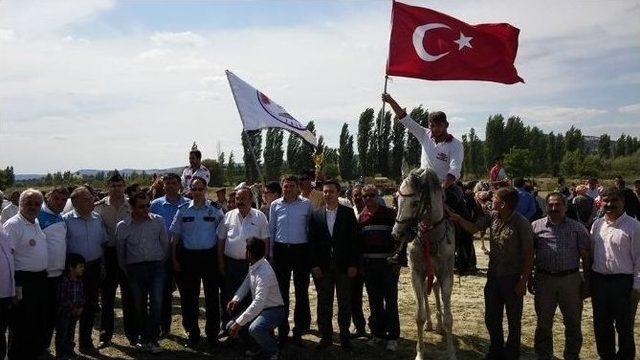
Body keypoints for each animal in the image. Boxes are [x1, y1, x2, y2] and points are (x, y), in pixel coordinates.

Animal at [390, 169, 456, 360]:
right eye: (397, 200)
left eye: (415, 203)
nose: (396, 234)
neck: (431, 237)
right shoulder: (416, 273)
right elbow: (419, 315)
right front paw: (420, 353)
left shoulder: (447, 274)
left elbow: (449, 318)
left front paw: (451, 352)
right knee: (428, 293)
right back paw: (430, 323)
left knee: (435, 289)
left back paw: (439, 323)